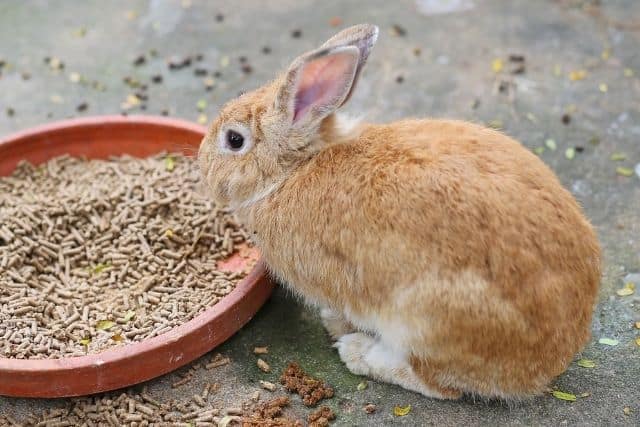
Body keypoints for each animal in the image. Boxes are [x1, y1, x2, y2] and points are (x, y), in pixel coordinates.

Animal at [197, 24, 601, 400]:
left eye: (234, 140)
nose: (203, 166)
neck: (292, 170)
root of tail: (547, 365)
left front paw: (336, 325)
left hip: (426, 320)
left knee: (439, 384)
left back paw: (358, 353)